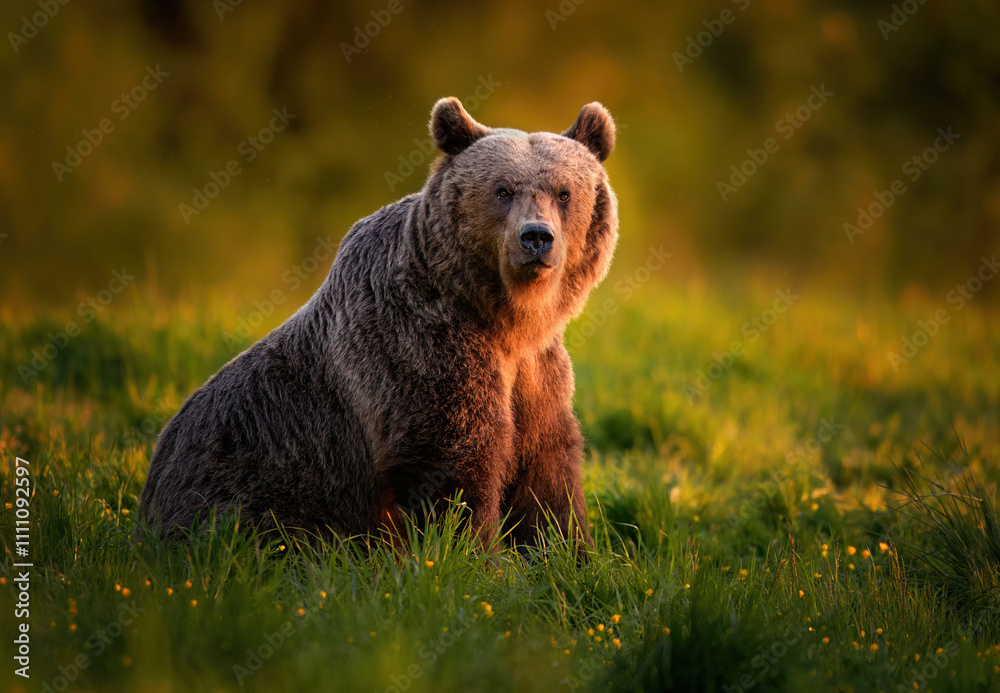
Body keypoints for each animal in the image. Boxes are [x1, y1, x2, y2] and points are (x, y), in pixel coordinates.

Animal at [138, 97, 619, 550]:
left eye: (563, 192)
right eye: (502, 190)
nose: (536, 237)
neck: (502, 318)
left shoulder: (537, 373)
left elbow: (546, 474)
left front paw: (568, 552)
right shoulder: (418, 349)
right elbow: (455, 466)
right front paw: (473, 554)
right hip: (244, 489)